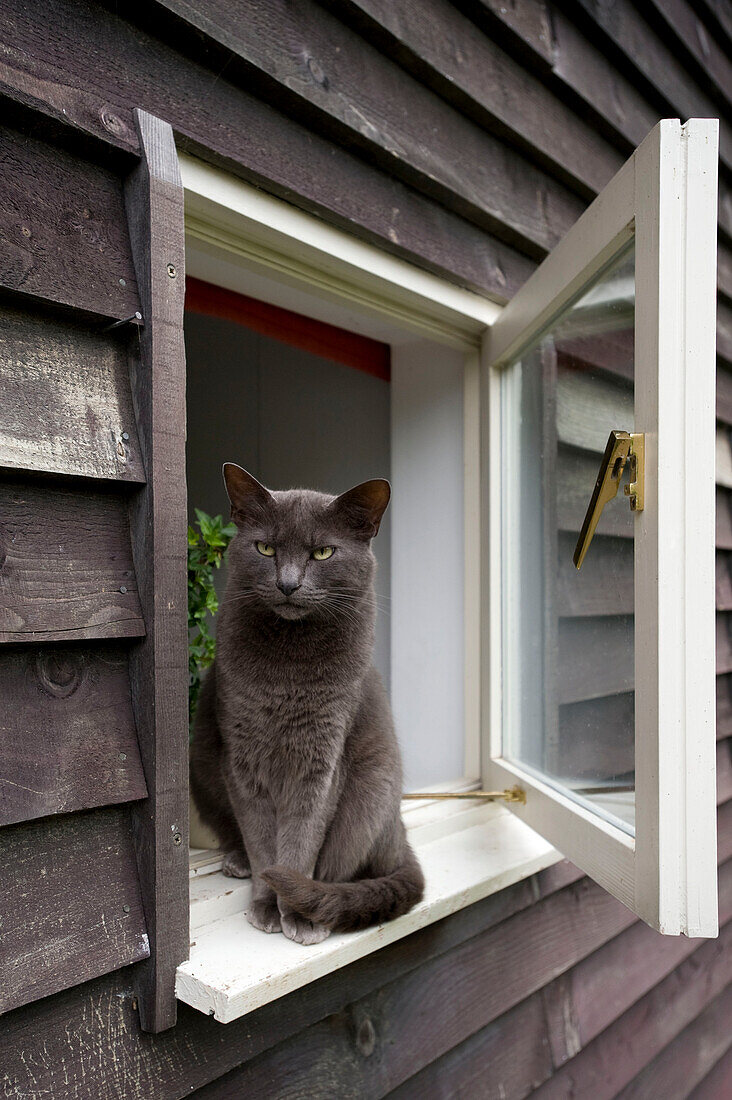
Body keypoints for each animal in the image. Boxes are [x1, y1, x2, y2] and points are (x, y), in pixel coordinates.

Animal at [189, 464, 422, 946]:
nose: (288, 584)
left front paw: (295, 912)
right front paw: (266, 903)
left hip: (372, 791)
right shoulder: (242, 757)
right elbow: (263, 842)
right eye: (265, 548)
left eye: (322, 552)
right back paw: (237, 861)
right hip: (201, 754)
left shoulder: (322, 759)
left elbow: (299, 841)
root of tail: (401, 832)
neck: (289, 667)